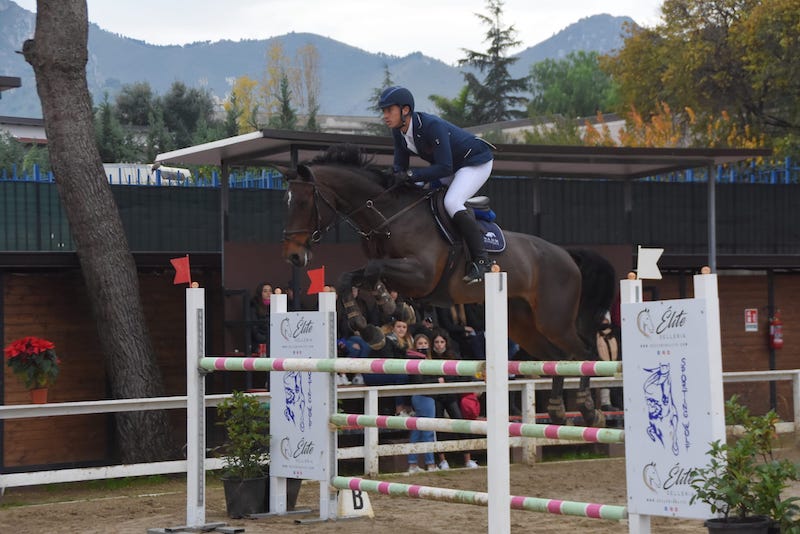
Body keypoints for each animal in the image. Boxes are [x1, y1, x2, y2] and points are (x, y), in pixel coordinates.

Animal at [281, 144, 616, 426]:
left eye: (303, 202)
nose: (294, 256)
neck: (389, 216)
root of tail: (567, 255)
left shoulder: (421, 275)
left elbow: (375, 271)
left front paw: (390, 308)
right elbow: (349, 278)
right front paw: (375, 326)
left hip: (553, 319)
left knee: (583, 353)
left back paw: (588, 410)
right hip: (524, 325)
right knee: (557, 358)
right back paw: (559, 410)